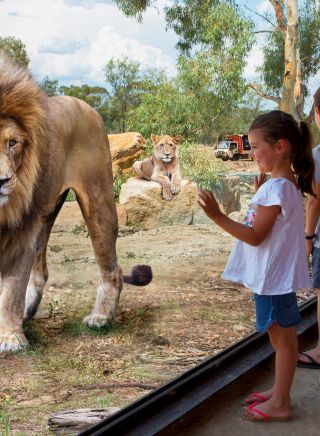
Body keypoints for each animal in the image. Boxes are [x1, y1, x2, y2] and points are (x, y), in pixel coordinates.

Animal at [0, 56, 152, 352]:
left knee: (112, 268)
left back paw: (101, 317)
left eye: (12, 143)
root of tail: (86, 105)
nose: (1, 180)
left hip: (98, 201)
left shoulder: (21, 231)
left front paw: (11, 338)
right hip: (46, 212)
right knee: (41, 270)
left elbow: (11, 290)